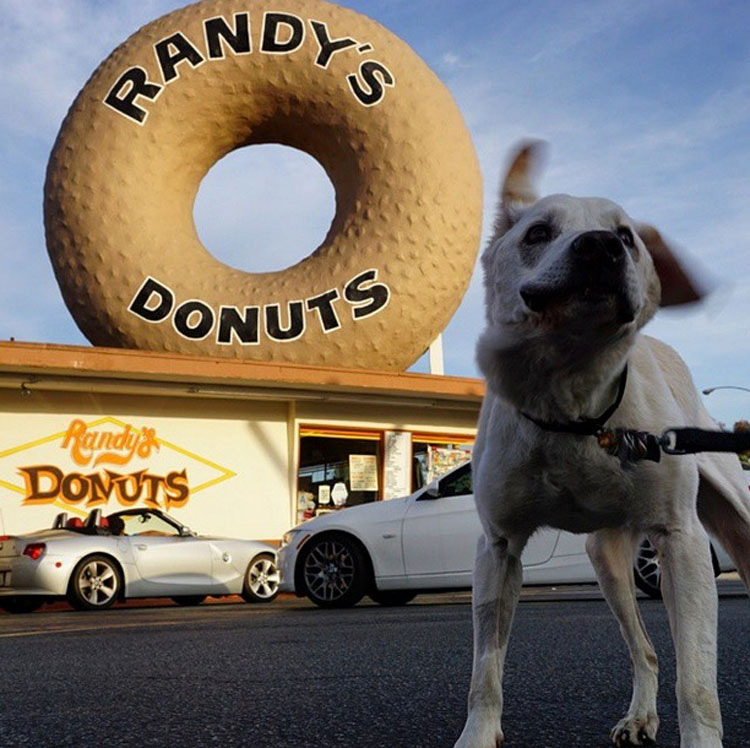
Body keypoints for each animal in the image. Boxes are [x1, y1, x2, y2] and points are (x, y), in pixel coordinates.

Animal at [456, 145, 750, 748]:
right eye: (537, 232)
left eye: (626, 236)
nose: (599, 246)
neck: (574, 408)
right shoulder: (498, 549)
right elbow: (485, 672)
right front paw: (477, 734)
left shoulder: (682, 543)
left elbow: (697, 682)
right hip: (609, 562)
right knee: (647, 651)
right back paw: (640, 716)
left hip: (736, 519)